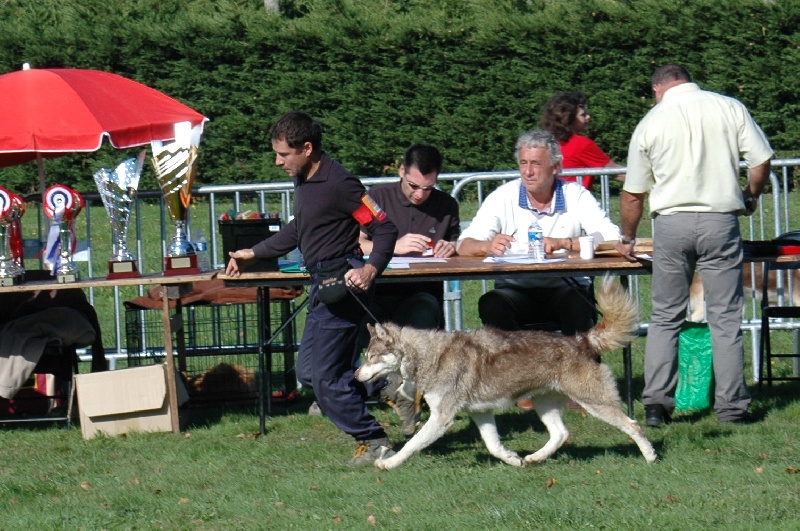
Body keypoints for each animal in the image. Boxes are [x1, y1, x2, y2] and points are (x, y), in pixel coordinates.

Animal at [354, 276, 657, 470]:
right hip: (543, 404)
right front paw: (513, 459)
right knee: (561, 434)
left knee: (632, 425)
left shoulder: (442, 418)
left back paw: (651, 457)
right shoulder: (481, 413)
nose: (356, 376)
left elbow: (411, 445)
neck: (430, 355)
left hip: (593, 402)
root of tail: (581, 340)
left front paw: (388, 463)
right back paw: (535, 458)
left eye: (372, 357)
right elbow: (494, 446)